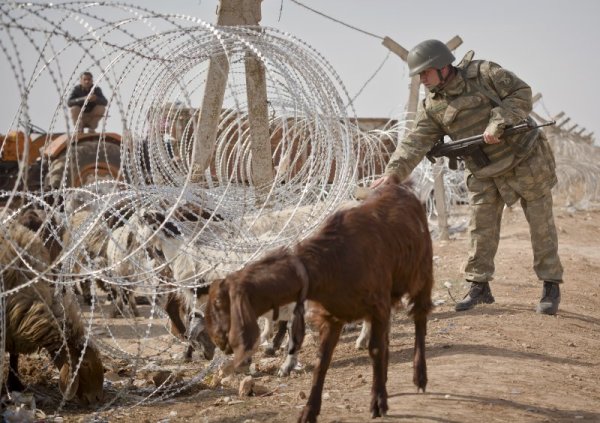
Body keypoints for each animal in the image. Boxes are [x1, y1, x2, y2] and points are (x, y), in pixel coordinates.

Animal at [205, 177, 432, 422]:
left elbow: (376, 350)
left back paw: (419, 376)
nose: (216, 339)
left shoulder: (378, 305)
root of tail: (403, 187)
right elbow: (322, 361)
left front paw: (378, 402)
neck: (329, 263)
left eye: (218, 303)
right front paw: (309, 411)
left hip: (422, 274)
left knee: (420, 319)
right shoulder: (332, 316)